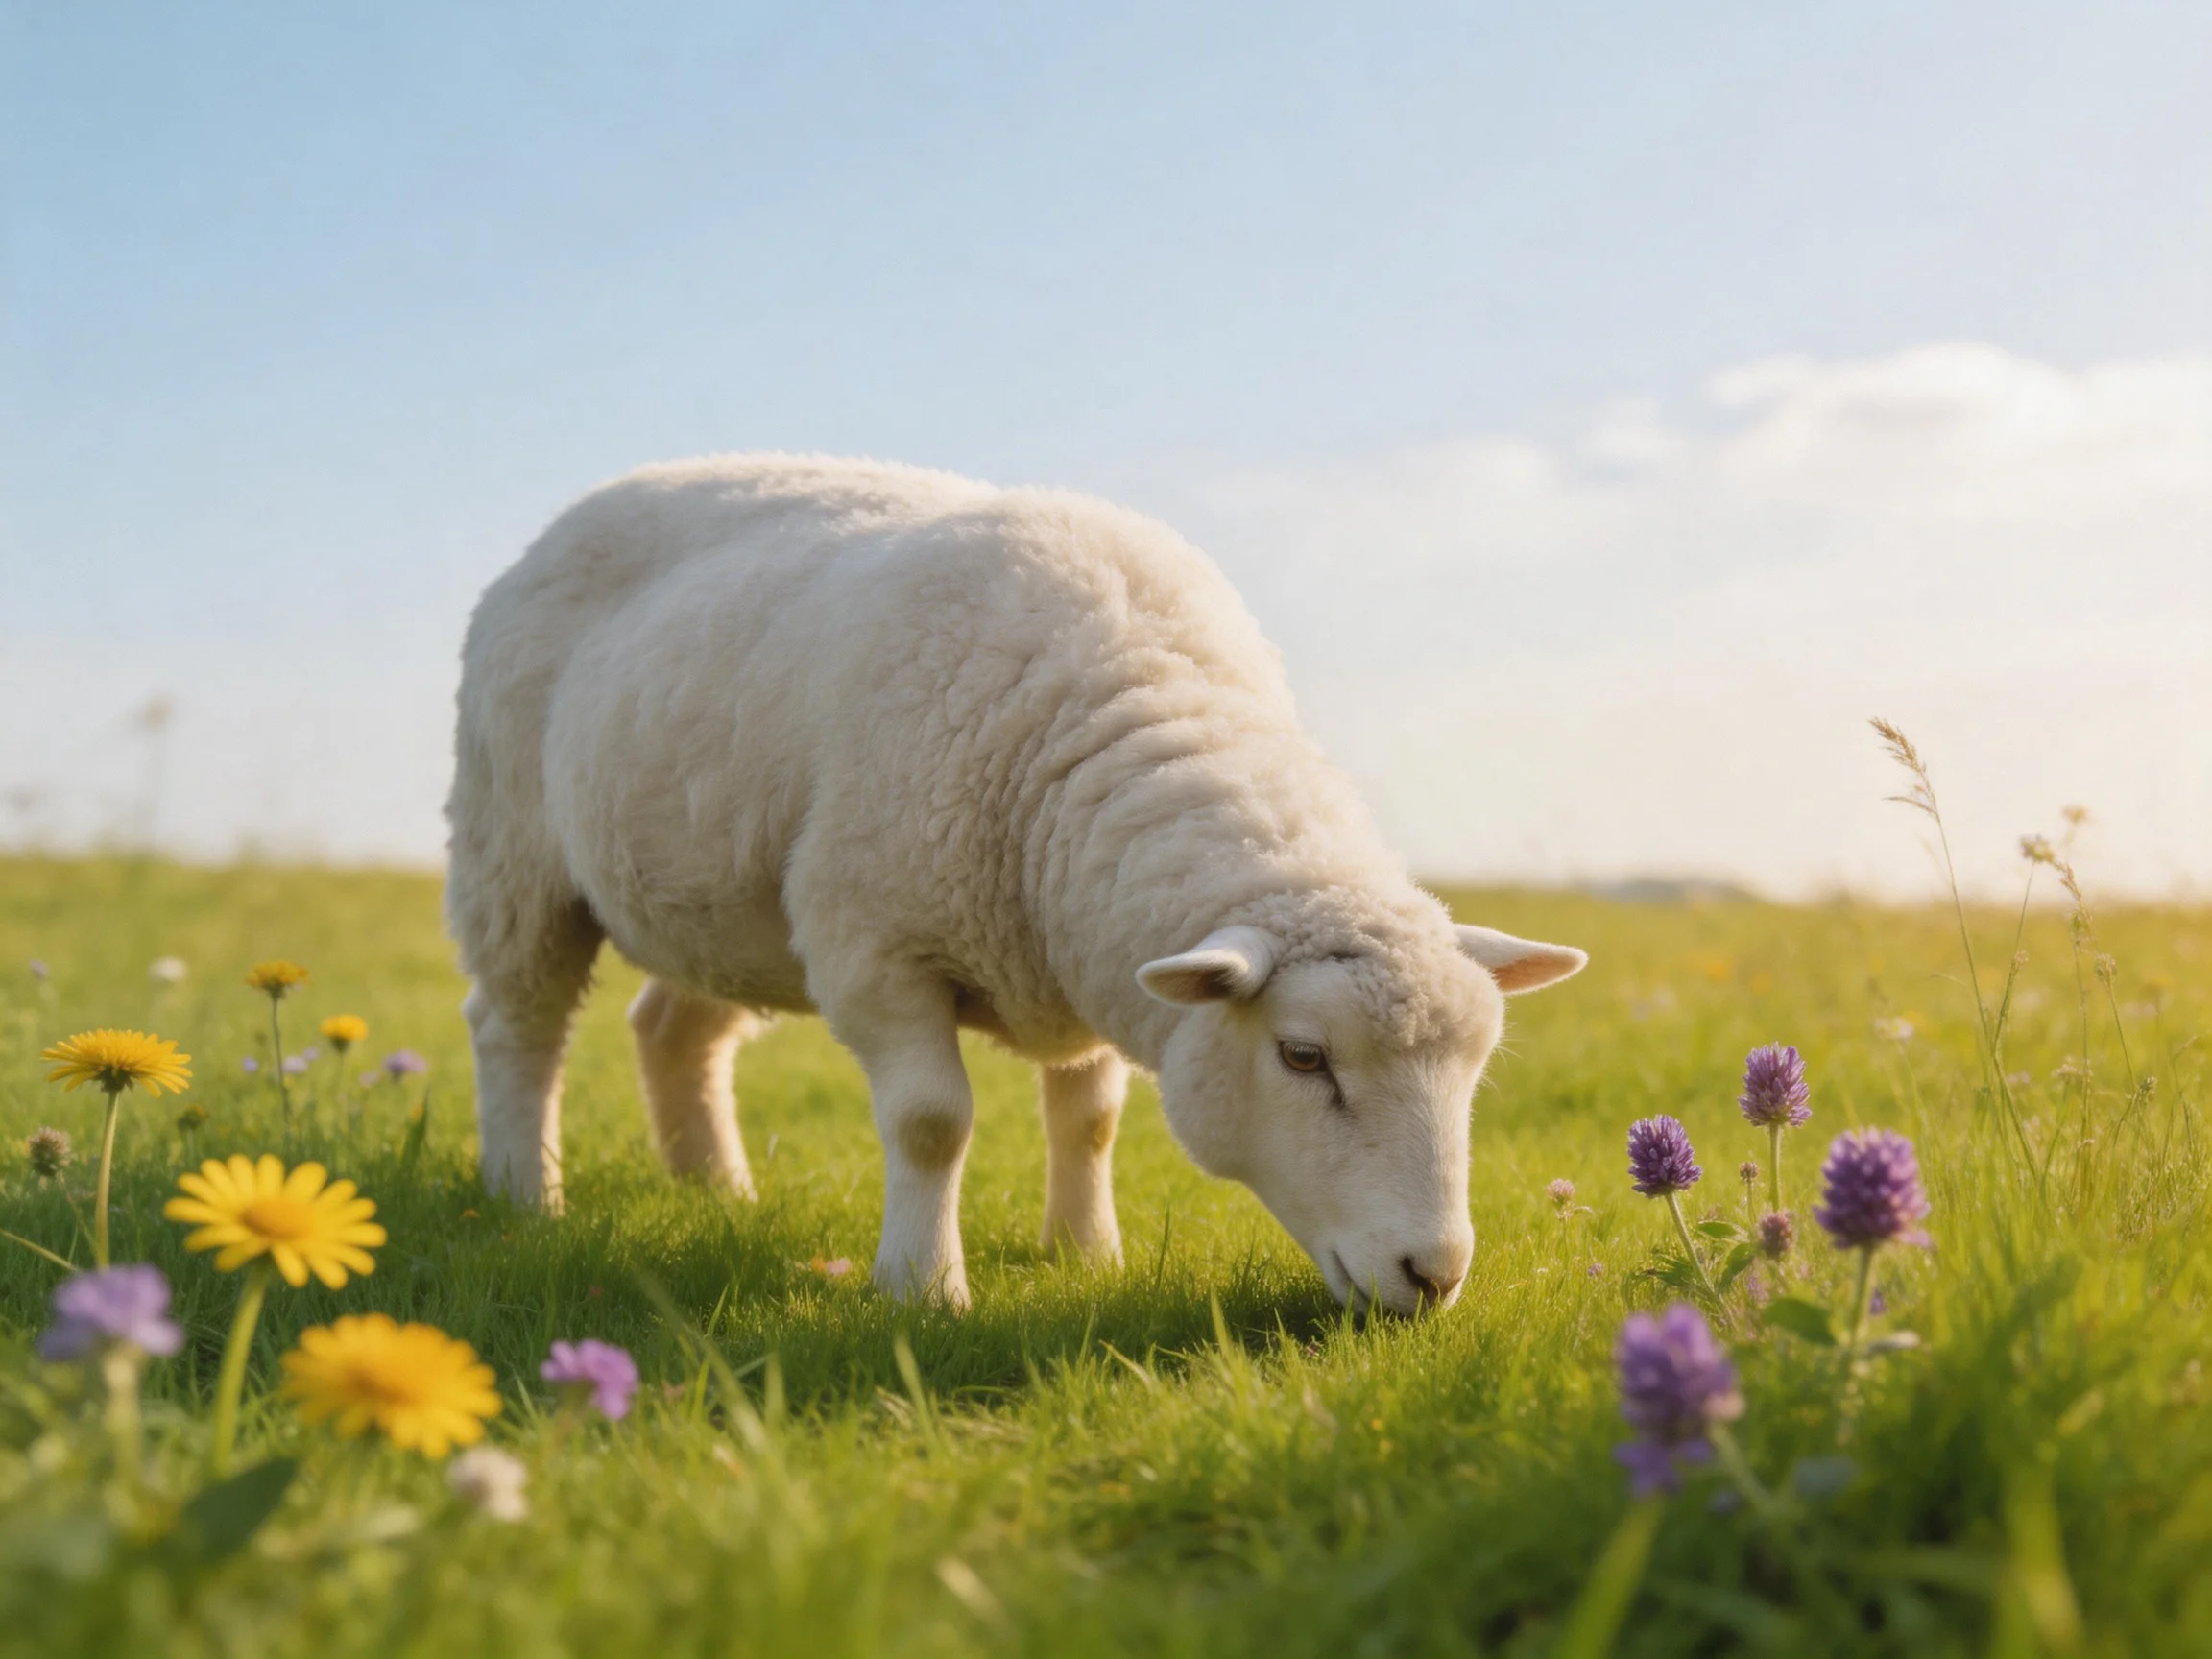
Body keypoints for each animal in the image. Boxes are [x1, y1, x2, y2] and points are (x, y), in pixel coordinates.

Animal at [445, 454, 1585, 1315]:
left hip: (727, 899)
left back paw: (715, 1193)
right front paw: (921, 1289)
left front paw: (1086, 1252)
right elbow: (931, 1123)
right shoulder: (875, 944)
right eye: (1304, 1058)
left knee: (673, 1031)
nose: (1434, 1275)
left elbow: (1090, 1118)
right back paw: (524, 1194)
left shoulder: (1087, 946)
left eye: (1476, 1068)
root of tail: (583, 508)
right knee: (516, 1026)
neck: (1135, 702)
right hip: (512, 845)